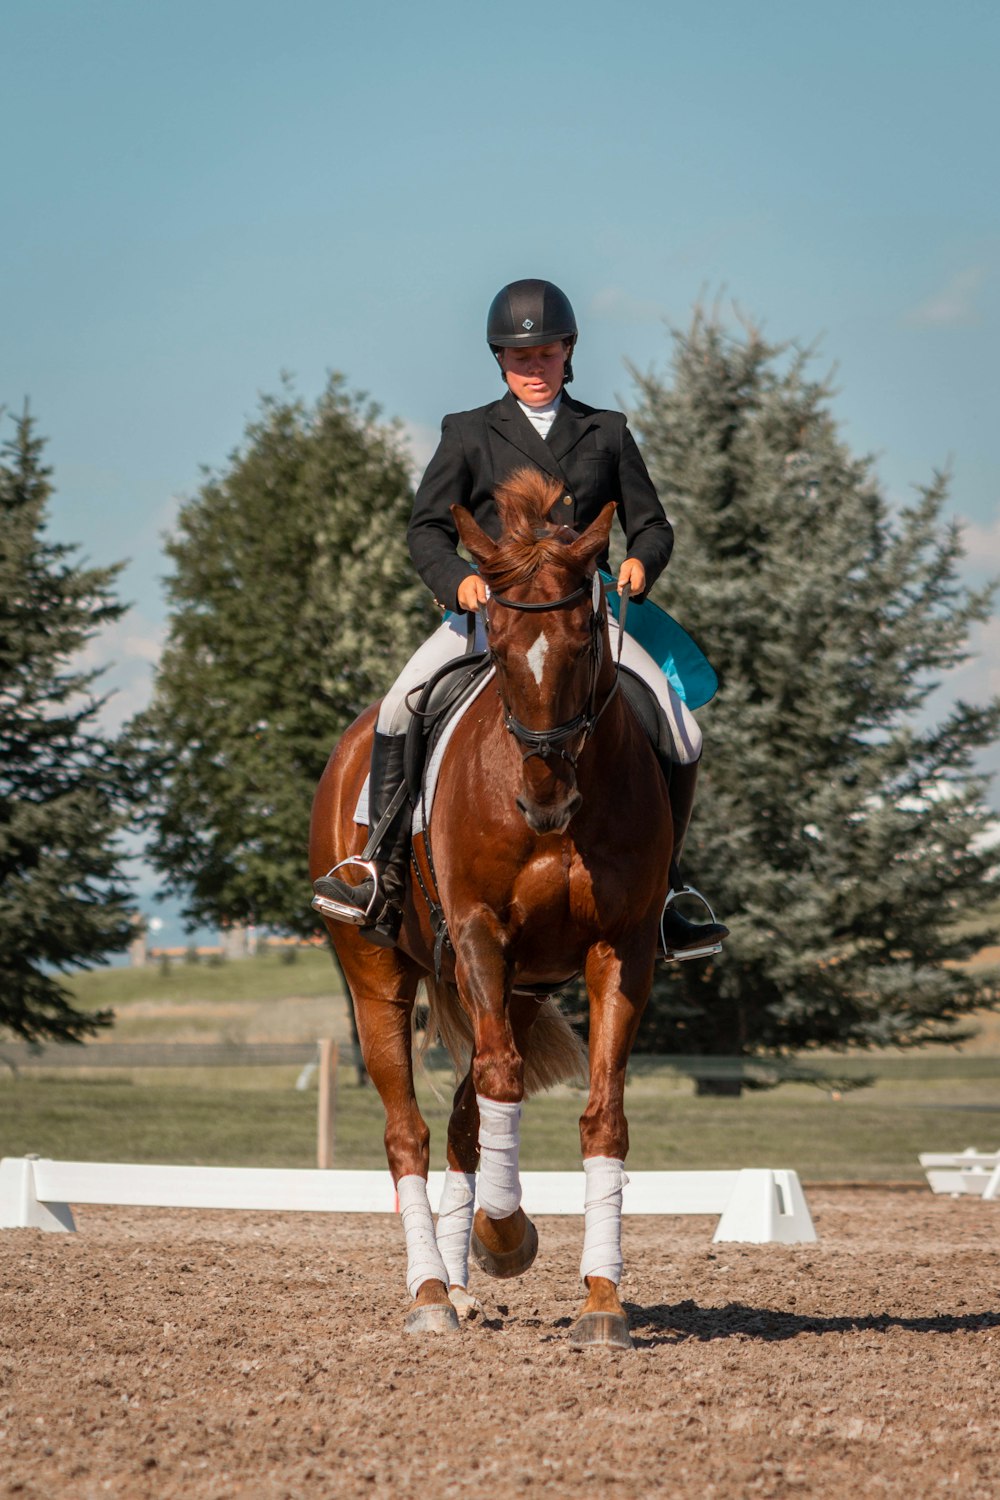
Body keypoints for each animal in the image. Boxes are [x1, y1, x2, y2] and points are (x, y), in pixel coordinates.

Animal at [307, 468, 671, 1350]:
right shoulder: (477, 931)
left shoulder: (620, 948)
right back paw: (432, 1292)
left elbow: (602, 1116)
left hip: (520, 986)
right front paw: (506, 1236)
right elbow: (502, 1078)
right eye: (498, 650)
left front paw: (602, 1300)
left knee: (468, 1122)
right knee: (409, 1130)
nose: (544, 802)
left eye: (584, 644)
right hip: (377, 972)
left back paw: (462, 1281)